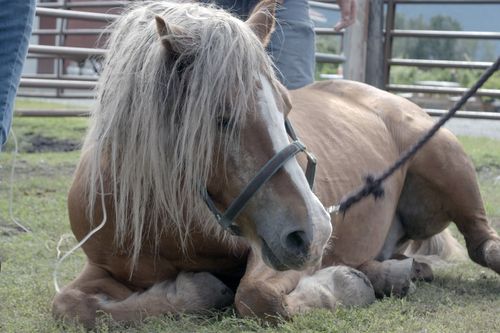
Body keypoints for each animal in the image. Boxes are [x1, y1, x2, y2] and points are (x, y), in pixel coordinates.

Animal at [51, 0, 500, 326]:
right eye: (221, 118)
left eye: (286, 107)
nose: (316, 231)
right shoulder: (103, 267)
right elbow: (71, 305)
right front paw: (194, 289)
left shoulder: (272, 252)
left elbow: (256, 297)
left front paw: (342, 285)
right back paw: (392, 273)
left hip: (446, 162)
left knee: (482, 242)